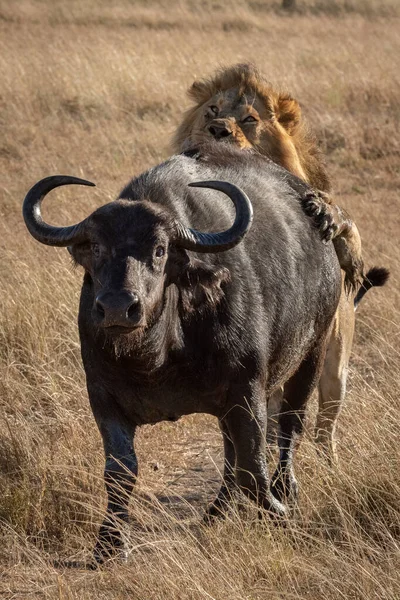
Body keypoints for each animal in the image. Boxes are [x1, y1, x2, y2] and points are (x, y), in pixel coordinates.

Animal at [21, 144, 340, 564]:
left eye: (160, 250)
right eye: (97, 248)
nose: (118, 308)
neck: (157, 358)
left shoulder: (248, 388)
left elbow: (254, 464)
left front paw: (278, 516)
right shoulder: (103, 397)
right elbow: (119, 472)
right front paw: (108, 545)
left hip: (312, 352)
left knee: (290, 428)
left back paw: (284, 490)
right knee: (230, 449)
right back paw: (216, 511)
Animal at [171, 64, 388, 460]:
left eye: (249, 119)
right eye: (212, 111)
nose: (217, 130)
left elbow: (349, 229)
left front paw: (329, 218)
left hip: (335, 365)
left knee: (325, 423)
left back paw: (326, 461)